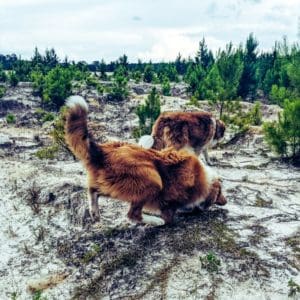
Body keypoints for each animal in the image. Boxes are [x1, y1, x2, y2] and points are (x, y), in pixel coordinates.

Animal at [64, 96, 226, 225]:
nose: (226, 201)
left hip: (114, 184)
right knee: (133, 215)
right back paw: (156, 221)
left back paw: (95, 213)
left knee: (94, 191)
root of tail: (103, 151)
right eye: (220, 193)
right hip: (153, 179)